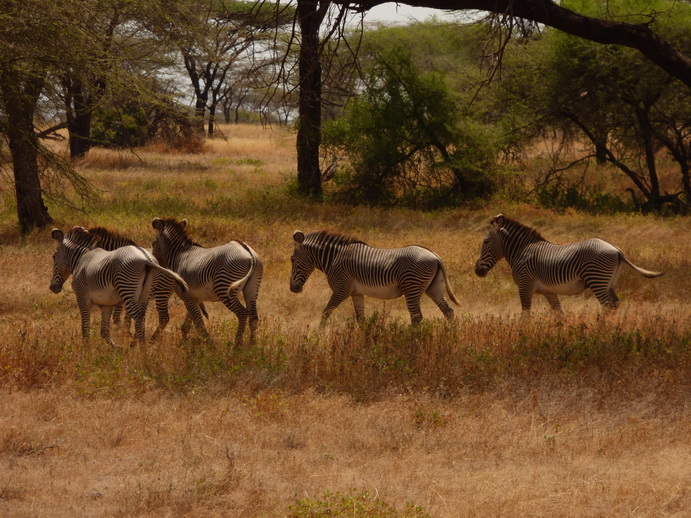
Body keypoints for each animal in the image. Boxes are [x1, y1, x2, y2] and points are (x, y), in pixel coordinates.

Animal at [50, 226, 188, 347]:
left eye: (53, 257)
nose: (52, 287)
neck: (82, 258)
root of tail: (146, 259)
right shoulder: (106, 304)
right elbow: (105, 330)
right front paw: (117, 347)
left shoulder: (82, 298)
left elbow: (86, 328)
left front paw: (86, 349)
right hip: (146, 294)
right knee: (143, 317)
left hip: (140, 290)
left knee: (145, 318)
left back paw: (143, 347)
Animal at [151, 217, 263, 346]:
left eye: (153, 244)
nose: (153, 266)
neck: (178, 256)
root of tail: (248, 251)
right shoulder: (194, 297)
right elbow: (190, 322)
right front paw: (185, 343)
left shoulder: (187, 295)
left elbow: (198, 321)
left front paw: (209, 344)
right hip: (252, 288)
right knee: (253, 317)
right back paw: (252, 345)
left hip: (224, 288)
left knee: (243, 313)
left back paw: (237, 345)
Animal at [290, 230, 460, 325]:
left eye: (292, 260)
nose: (293, 289)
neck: (334, 258)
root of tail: (435, 256)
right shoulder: (356, 293)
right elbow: (361, 318)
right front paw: (364, 339)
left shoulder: (341, 289)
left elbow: (325, 312)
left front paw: (320, 335)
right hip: (434, 287)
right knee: (448, 311)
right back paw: (451, 335)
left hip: (411, 286)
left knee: (417, 317)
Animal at [474, 214, 664, 312]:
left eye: (485, 242)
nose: (477, 271)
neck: (522, 251)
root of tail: (617, 250)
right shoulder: (549, 291)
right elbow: (559, 314)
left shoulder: (525, 286)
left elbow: (525, 316)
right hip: (610, 282)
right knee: (616, 304)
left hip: (597, 279)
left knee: (608, 306)